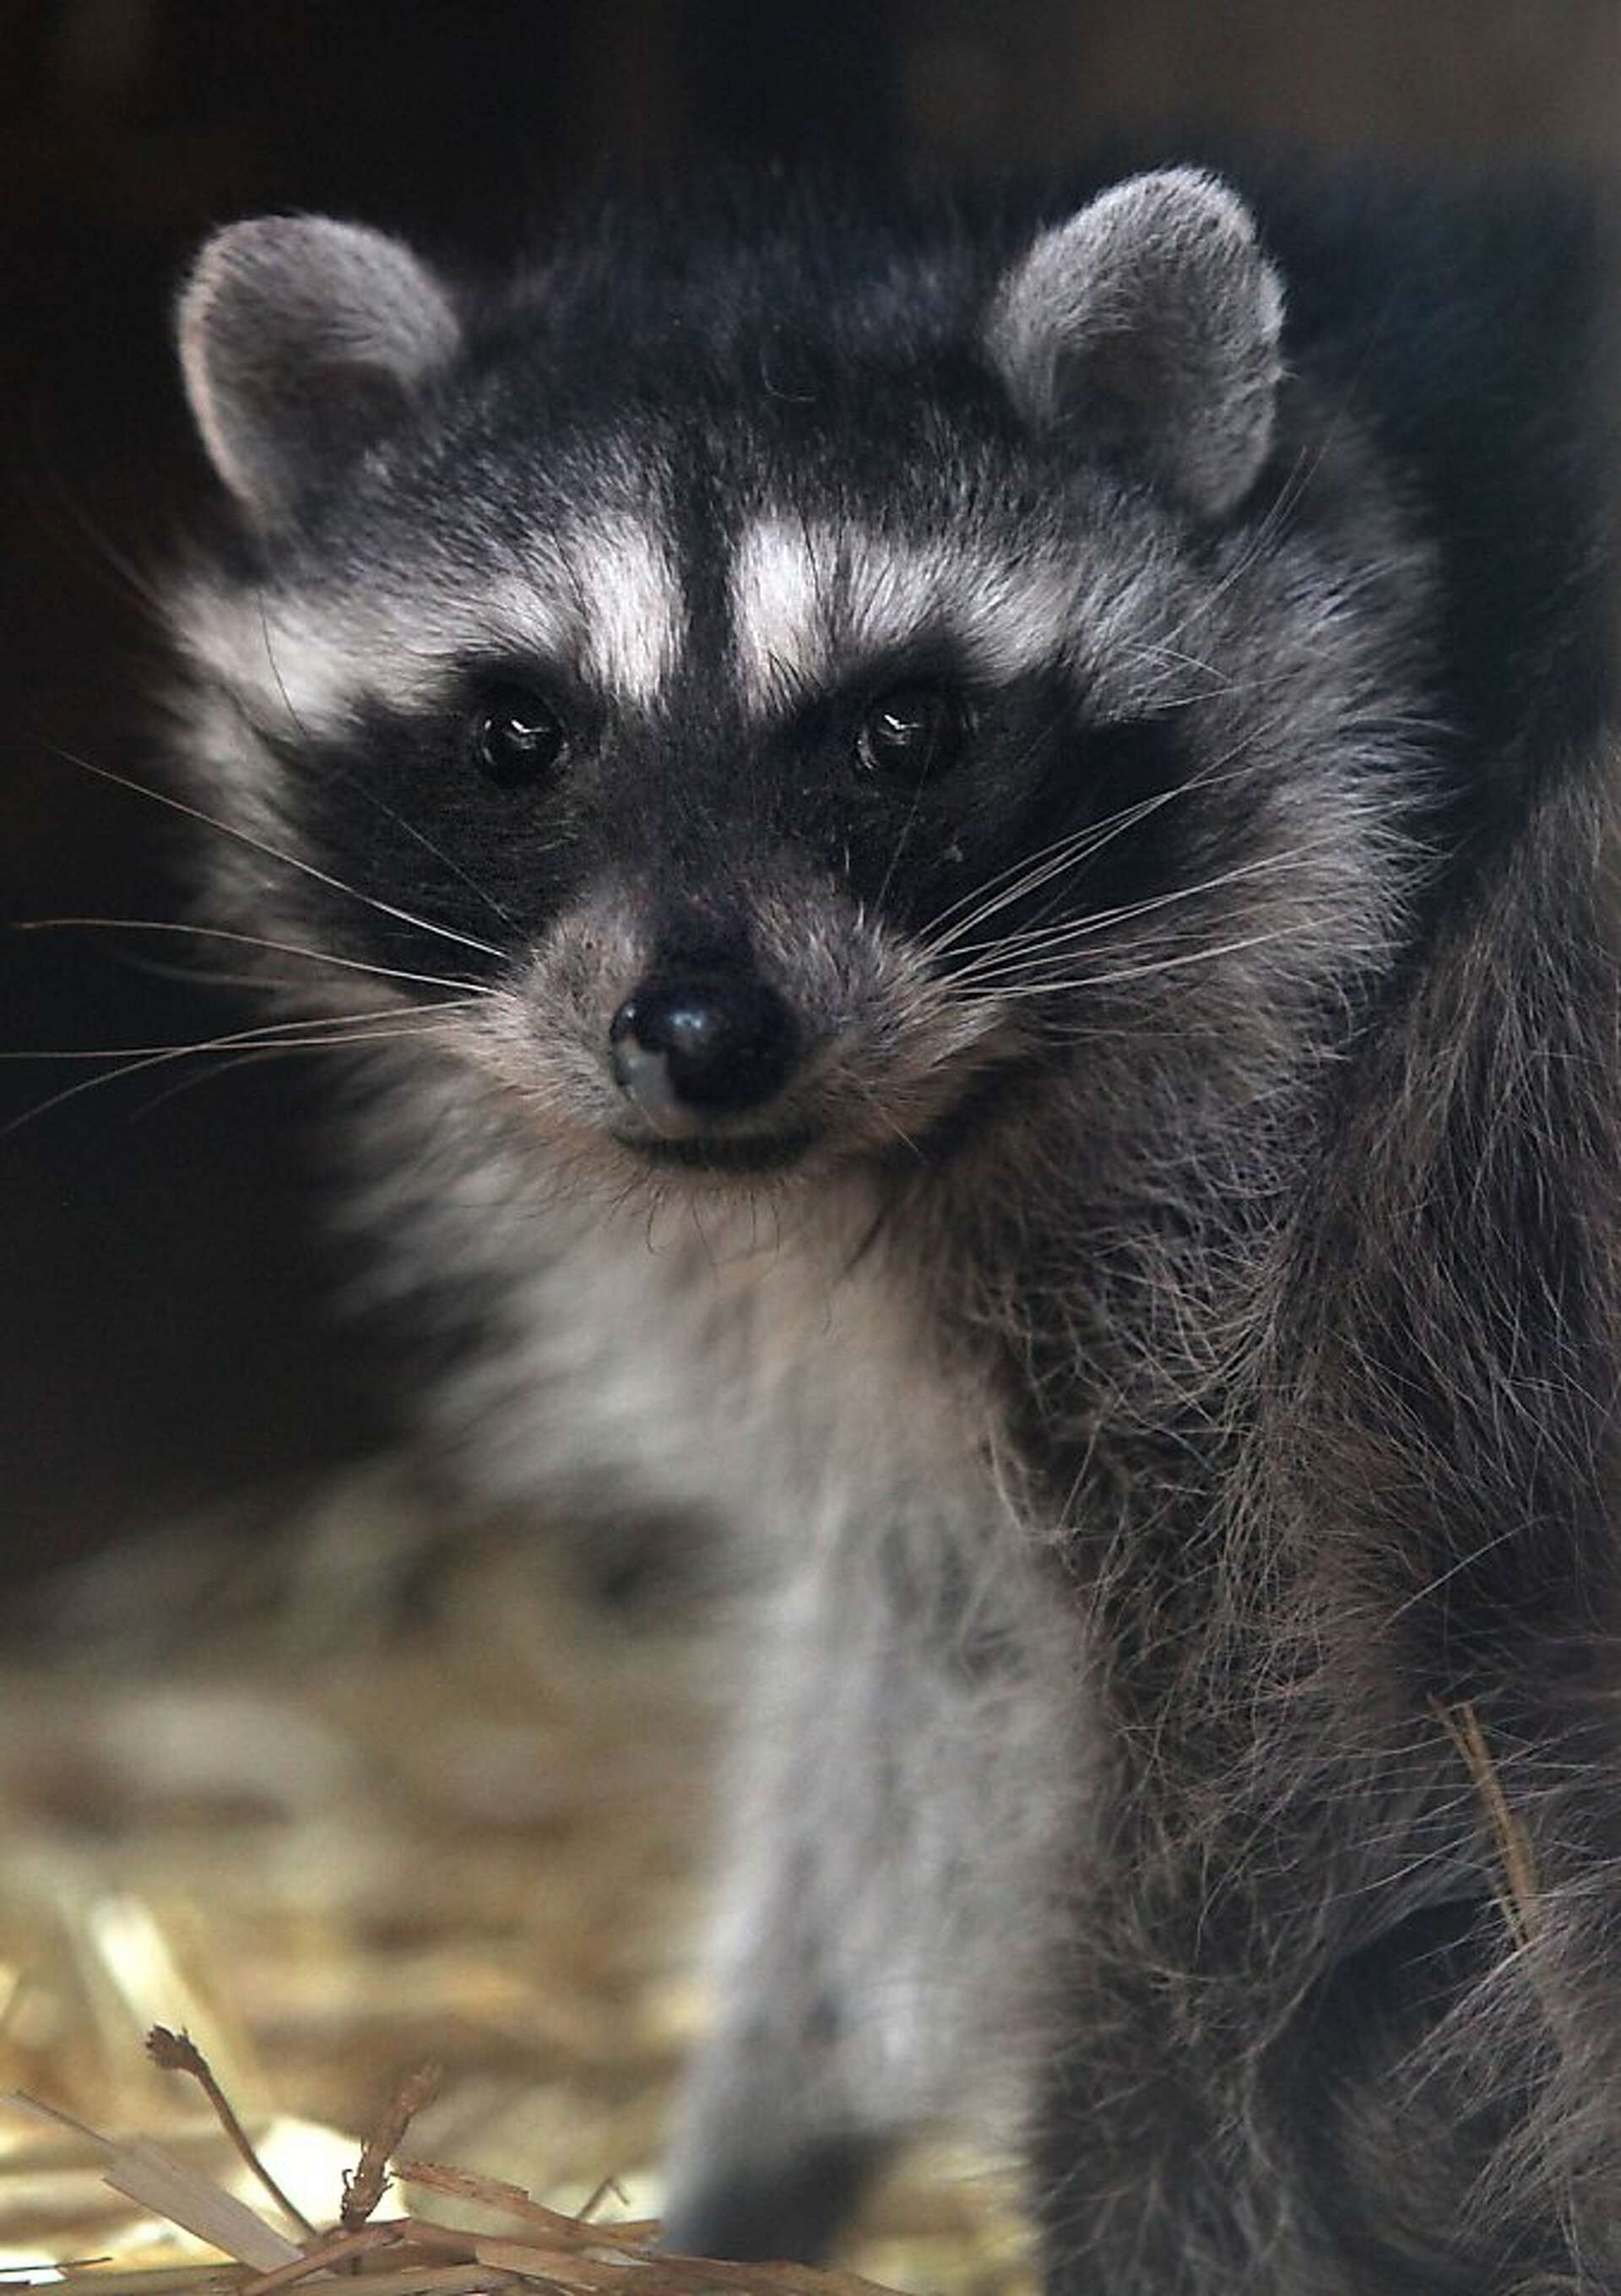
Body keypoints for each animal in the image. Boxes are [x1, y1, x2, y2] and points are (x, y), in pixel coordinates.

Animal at [165, 162, 1618, 2291]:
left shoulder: (1260, 1203)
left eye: (907, 729)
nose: (703, 1031)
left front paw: (1153, 2165)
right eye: (518, 735)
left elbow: (1236, 1754)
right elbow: (905, 1651)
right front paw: (767, 2131)